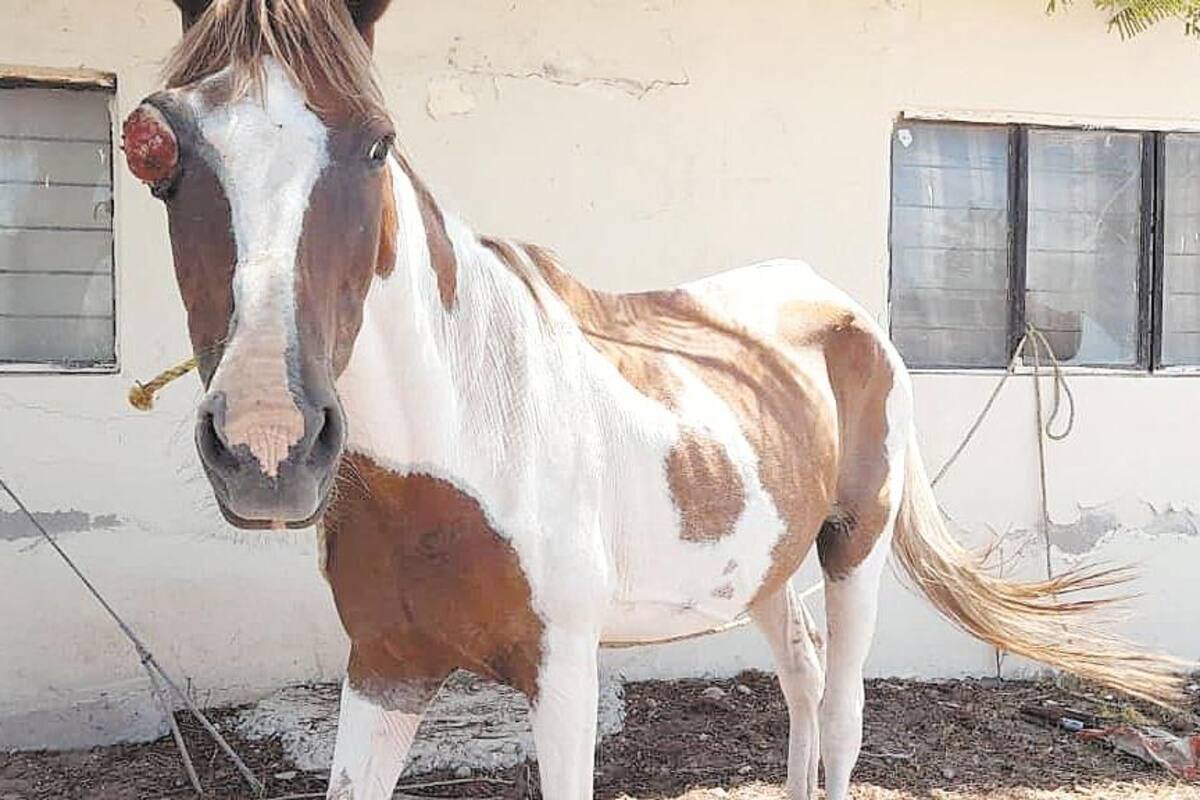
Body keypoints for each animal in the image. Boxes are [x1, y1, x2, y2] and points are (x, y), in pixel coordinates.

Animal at [121, 2, 1185, 798]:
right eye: (157, 148)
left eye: (378, 143)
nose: (268, 444)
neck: (465, 443)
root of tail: (837, 304)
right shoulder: (385, 669)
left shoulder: (562, 675)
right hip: (764, 563)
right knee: (799, 673)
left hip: (854, 546)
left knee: (842, 710)